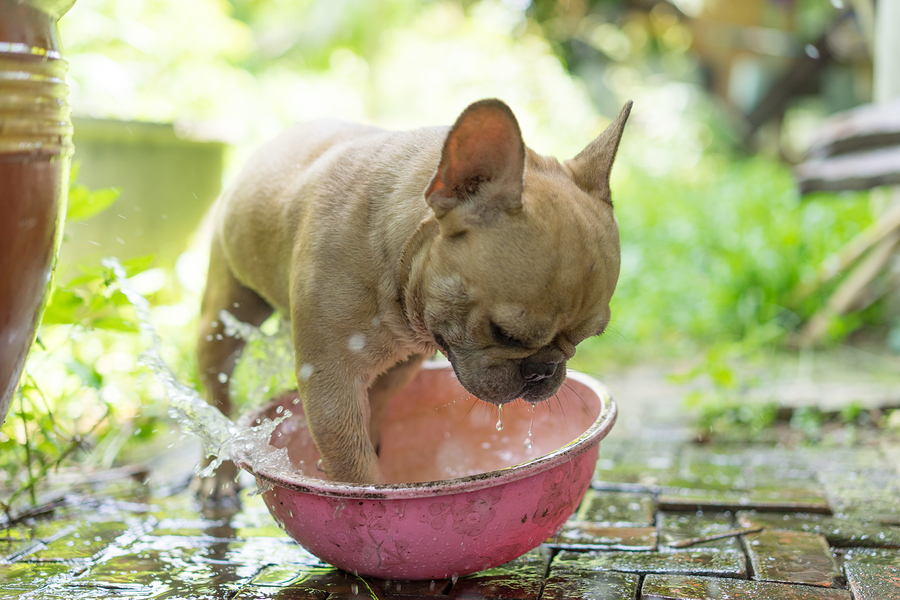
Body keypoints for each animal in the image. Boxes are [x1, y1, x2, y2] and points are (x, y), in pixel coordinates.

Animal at [197, 97, 632, 492]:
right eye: (504, 333)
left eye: (584, 339)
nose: (542, 369)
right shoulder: (329, 380)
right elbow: (352, 462)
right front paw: (367, 494)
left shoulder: (408, 353)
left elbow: (381, 395)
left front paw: (373, 433)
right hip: (223, 316)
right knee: (215, 394)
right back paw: (216, 476)